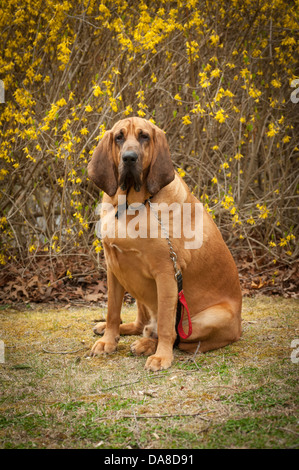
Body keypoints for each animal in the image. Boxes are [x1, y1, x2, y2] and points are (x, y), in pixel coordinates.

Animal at [88, 115, 243, 370]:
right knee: (141, 324)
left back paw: (148, 345)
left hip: (207, 318)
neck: (131, 205)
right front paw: (108, 341)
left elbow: (166, 324)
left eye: (144, 137)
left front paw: (161, 357)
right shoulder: (114, 268)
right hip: (134, 285)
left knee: (175, 335)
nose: (129, 158)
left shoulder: (166, 274)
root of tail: (239, 330)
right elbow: (112, 310)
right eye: (119, 137)